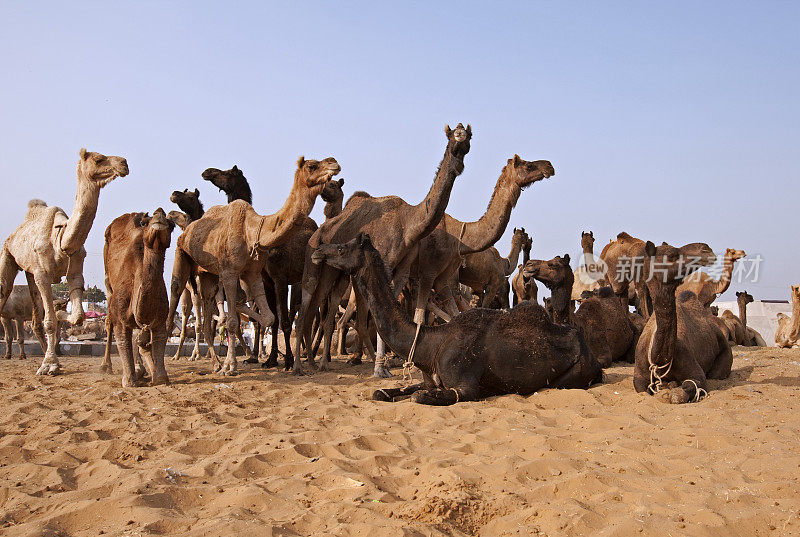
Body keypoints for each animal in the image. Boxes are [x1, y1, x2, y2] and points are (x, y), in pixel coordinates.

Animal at [0, 147, 130, 372]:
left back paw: (49, 353)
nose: (123, 163)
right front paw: (49, 365)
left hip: (29, 272)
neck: (61, 240)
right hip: (7, 254)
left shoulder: (76, 267)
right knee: (4, 288)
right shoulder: (43, 274)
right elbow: (50, 321)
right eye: (98, 159)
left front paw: (61, 318)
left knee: (36, 318)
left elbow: (76, 315)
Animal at [101, 208, 175, 386]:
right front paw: (129, 380)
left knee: (138, 335)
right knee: (109, 322)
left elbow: (158, 338)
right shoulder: (120, 317)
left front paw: (159, 377)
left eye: (172, 225)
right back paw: (106, 366)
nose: (159, 213)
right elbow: (122, 340)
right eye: (144, 223)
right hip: (108, 282)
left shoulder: (160, 318)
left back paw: (141, 368)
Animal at [310, 232, 600, 404]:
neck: (430, 344)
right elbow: (383, 392)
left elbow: (419, 397)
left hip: (577, 372)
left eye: (342, 248)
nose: (318, 251)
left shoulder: (465, 387)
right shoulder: (429, 377)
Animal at [632, 240, 732, 402]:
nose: (706, 249)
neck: (660, 361)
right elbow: (642, 389)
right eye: (671, 255)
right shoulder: (639, 375)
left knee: (717, 374)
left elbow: (686, 389)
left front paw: (674, 390)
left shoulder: (696, 373)